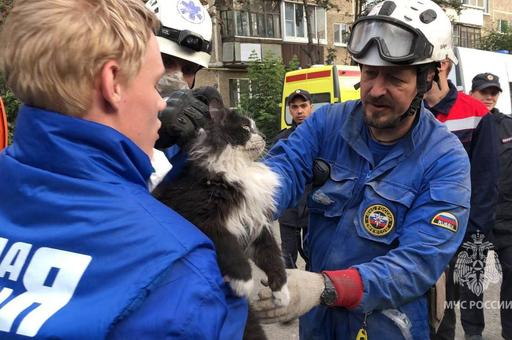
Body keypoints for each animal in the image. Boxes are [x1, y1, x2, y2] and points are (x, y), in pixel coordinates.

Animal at [153, 88, 288, 340]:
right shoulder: (205, 220)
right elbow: (231, 251)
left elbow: (273, 256)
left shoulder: (256, 222)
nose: (264, 136)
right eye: (245, 128)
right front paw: (243, 284)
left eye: (255, 128)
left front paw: (282, 293)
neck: (240, 168)